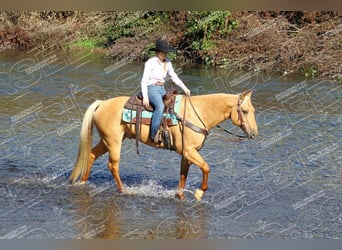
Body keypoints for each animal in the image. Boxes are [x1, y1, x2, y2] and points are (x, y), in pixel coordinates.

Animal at [69, 91, 256, 200]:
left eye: (253, 110)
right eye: (245, 111)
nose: (254, 133)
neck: (198, 113)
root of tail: (102, 103)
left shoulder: (186, 154)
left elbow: (183, 175)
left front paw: (180, 195)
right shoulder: (189, 151)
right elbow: (206, 168)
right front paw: (199, 192)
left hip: (107, 141)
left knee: (91, 154)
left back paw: (83, 182)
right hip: (113, 142)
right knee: (113, 165)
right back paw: (124, 190)